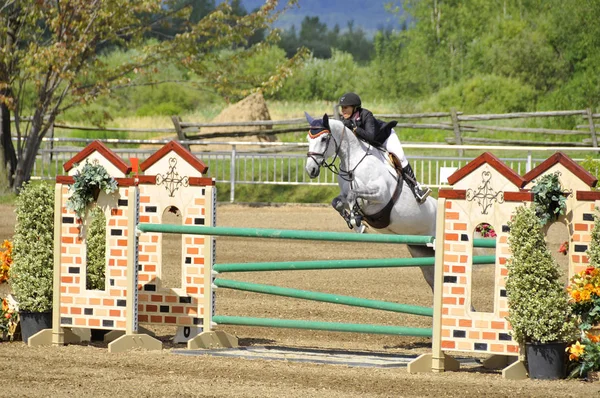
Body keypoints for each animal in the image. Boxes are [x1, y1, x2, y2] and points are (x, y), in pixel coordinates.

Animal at [304, 112, 436, 290]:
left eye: (324, 139)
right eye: (308, 138)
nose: (310, 170)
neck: (353, 163)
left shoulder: (380, 194)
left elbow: (353, 195)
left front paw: (356, 219)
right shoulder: (345, 194)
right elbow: (338, 202)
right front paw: (355, 222)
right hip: (420, 250)